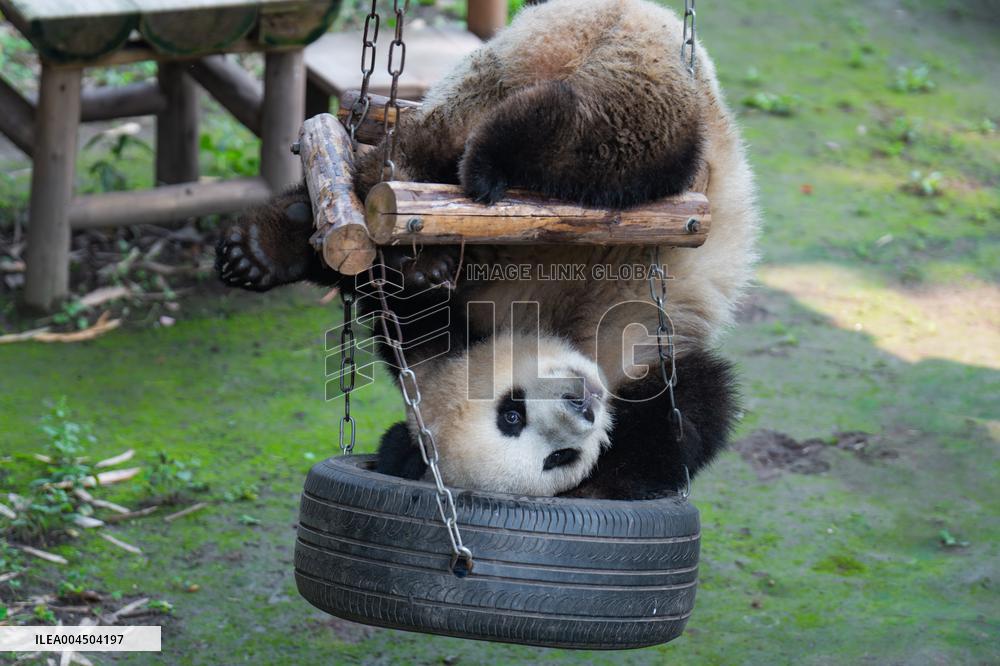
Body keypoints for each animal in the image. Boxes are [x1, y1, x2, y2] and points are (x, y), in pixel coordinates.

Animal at [216, 0, 759, 499]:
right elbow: (388, 291)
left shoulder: (639, 358)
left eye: (559, 454)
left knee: (618, 138)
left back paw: (495, 154)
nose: (582, 404)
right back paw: (270, 247)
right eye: (513, 416)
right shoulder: (436, 333)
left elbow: (680, 428)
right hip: (525, 67)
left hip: (638, 68)